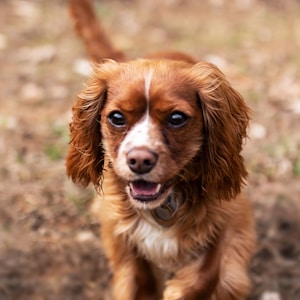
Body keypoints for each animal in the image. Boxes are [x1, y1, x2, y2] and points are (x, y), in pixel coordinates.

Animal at [66, 1, 255, 298]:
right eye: (116, 117)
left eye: (176, 118)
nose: (140, 160)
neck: (167, 202)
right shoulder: (119, 230)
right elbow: (139, 276)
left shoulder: (234, 216)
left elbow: (211, 270)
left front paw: (181, 290)